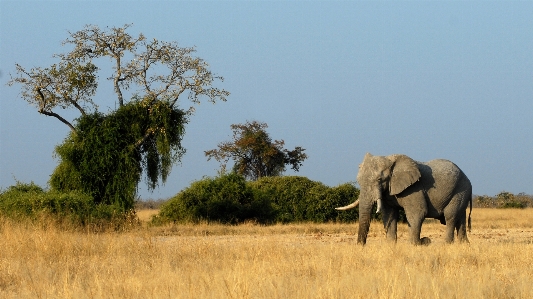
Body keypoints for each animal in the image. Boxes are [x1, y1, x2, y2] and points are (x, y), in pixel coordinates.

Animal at [334, 154, 472, 245]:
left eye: (379, 179)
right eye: (358, 181)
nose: (360, 246)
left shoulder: (414, 188)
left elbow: (417, 213)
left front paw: (416, 244)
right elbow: (389, 214)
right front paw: (391, 245)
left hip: (460, 190)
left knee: (450, 216)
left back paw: (447, 244)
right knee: (460, 218)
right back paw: (464, 244)